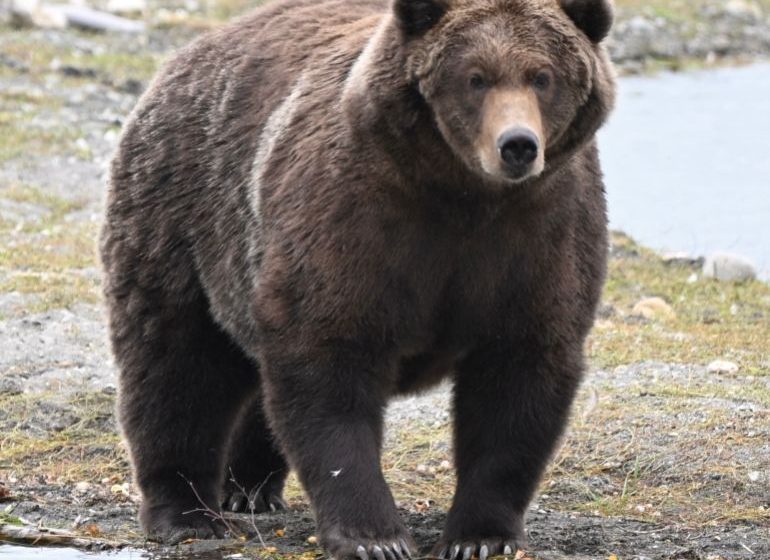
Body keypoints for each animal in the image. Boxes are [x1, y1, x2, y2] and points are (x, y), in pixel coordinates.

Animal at [100, 0, 616, 557]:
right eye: (474, 77)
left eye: (543, 76)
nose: (517, 145)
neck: (463, 195)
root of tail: (186, 56)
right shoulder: (357, 218)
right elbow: (329, 363)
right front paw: (375, 536)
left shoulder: (539, 235)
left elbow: (519, 378)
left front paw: (478, 536)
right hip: (184, 218)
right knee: (176, 364)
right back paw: (187, 513)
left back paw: (250, 487)